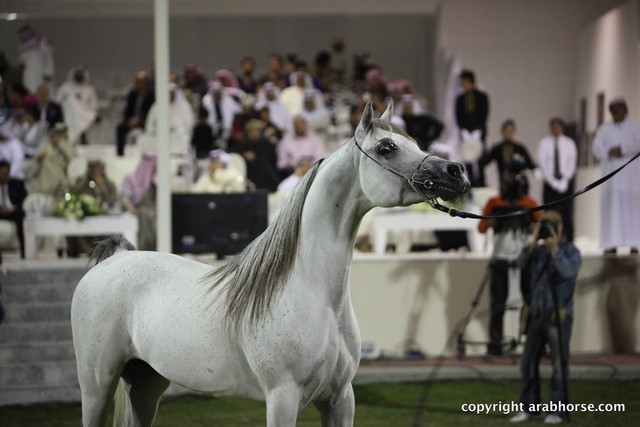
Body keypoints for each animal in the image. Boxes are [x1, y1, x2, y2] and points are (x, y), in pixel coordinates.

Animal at [71, 100, 470, 427]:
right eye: (386, 147)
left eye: (416, 142)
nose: (457, 171)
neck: (313, 294)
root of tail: (117, 256)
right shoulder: (282, 398)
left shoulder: (340, 399)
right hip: (96, 385)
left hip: (145, 382)